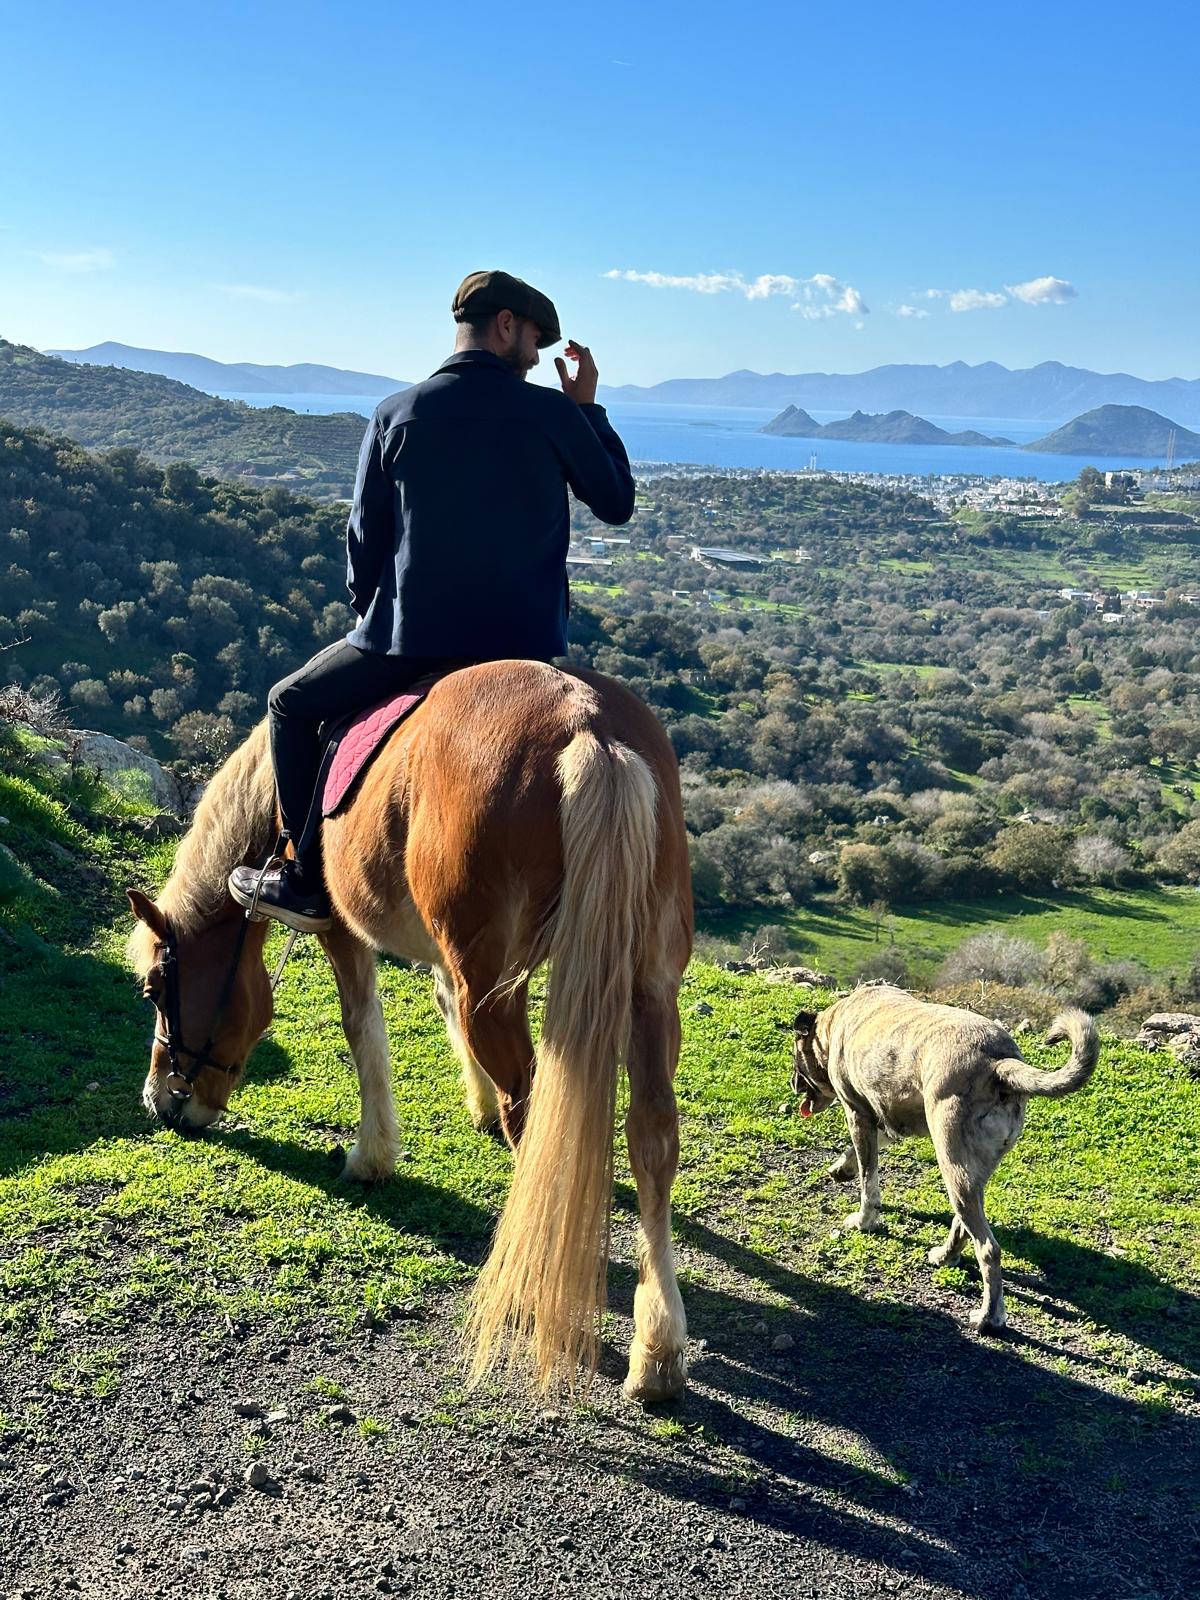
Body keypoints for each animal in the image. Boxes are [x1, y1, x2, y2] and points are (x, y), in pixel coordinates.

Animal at [125, 662, 694, 1401]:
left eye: (154, 989)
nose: (161, 1100)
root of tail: (589, 728)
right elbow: (441, 999)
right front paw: (473, 1104)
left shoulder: (338, 924)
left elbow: (361, 1028)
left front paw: (371, 1155)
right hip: (648, 982)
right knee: (650, 1135)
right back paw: (657, 1348)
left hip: (502, 976)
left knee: (532, 1115)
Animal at [790, 979, 1100, 1331]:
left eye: (796, 1058)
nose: (793, 1084)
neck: (834, 1025)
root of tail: (998, 1063)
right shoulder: (890, 1119)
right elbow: (867, 1152)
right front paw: (842, 1167)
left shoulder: (858, 1114)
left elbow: (869, 1181)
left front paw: (864, 1219)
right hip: (970, 1169)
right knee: (964, 1221)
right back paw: (946, 1255)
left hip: (951, 1156)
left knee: (988, 1248)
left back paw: (989, 1315)